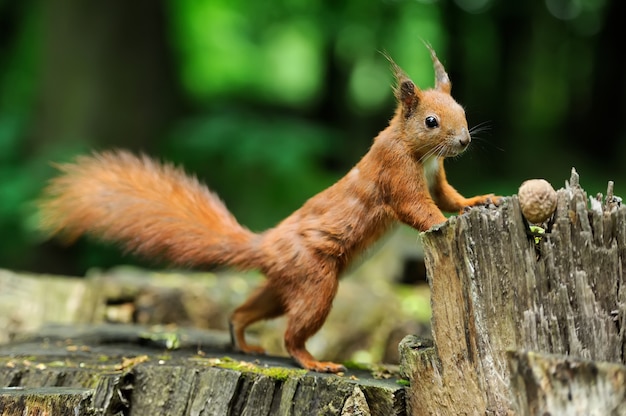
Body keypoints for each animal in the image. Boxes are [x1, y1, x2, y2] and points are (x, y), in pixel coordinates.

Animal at [39, 47, 498, 372]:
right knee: (293, 336)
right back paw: (315, 362)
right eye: (431, 121)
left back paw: (242, 339)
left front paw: (480, 202)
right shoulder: (396, 174)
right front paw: (441, 224)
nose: (464, 141)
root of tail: (264, 246)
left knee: (246, 310)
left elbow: (449, 196)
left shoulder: (436, 176)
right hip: (316, 281)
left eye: (462, 112)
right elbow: (417, 207)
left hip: (283, 285)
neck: (417, 151)